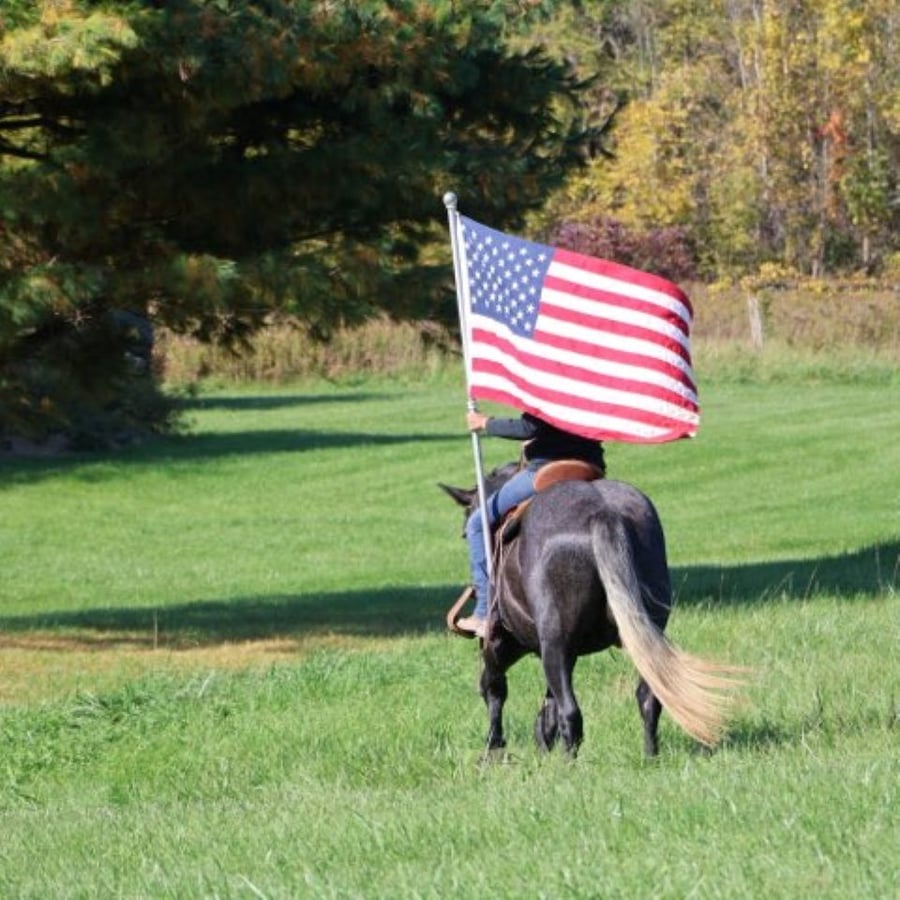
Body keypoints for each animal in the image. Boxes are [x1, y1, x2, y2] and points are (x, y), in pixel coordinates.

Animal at [441, 462, 742, 757]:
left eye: (467, 532)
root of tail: (603, 513)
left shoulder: (499, 643)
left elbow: (494, 690)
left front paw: (493, 747)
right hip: (639, 635)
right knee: (648, 697)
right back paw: (649, 755)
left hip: (553, 644)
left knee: (570, 711)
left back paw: (566, 763)